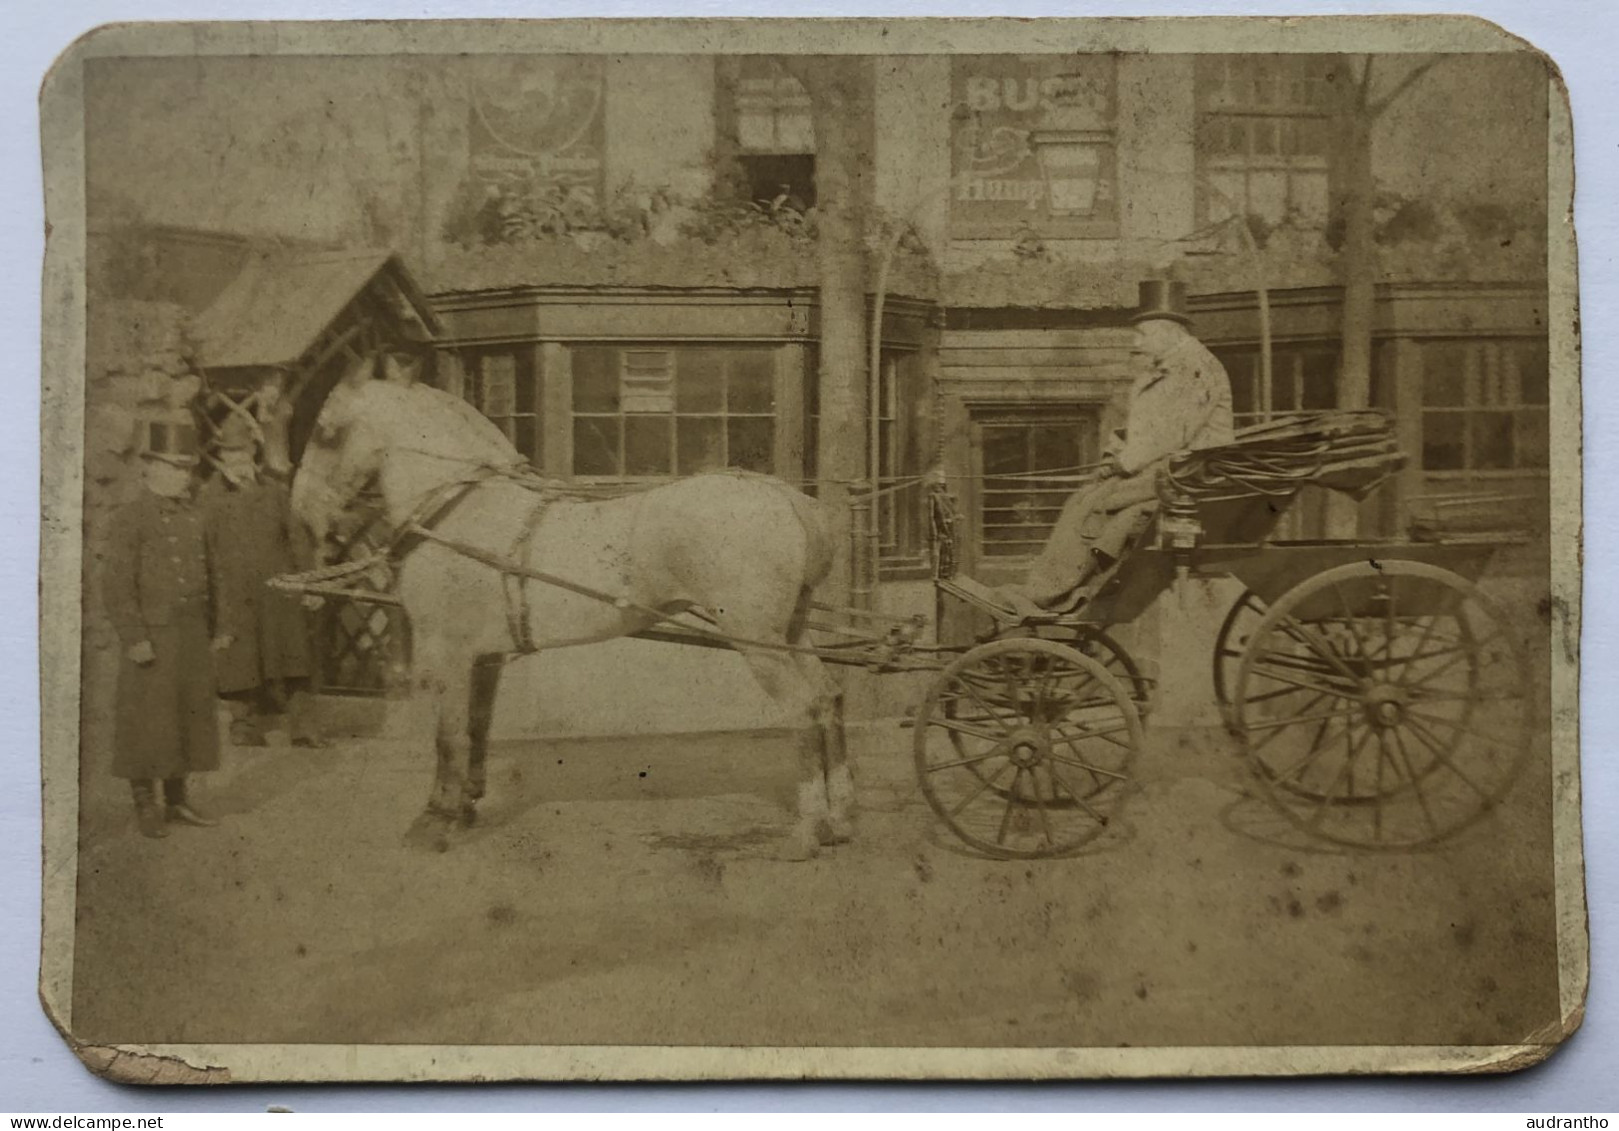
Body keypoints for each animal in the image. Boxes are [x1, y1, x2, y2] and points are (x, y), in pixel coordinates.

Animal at [291, 372, 854, 860]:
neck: (459, 508)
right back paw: (839, 820)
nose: (302, 514)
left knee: (803, 708)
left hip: (757, 641)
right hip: (790, 631)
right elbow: (476, 728)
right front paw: (467, 806)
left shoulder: (444, 651)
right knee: (829, 696)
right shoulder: (483, 657)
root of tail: (786, 497)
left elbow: (447, 737)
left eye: (326, 433)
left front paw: (434, 821)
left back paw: (808, 831)